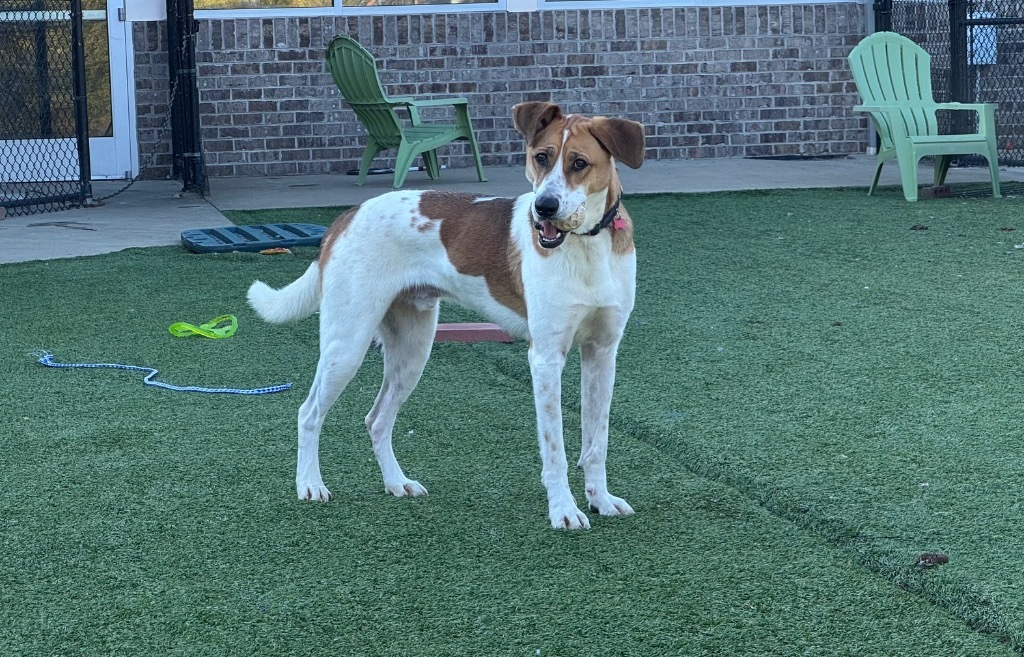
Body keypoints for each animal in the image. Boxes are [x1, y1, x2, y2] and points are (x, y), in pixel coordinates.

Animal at [246, 103, 643, 532]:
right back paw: (310, 485)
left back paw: (397, 482)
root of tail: (348, 215)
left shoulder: (602, 354)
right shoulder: (546, 358)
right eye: (541, 157)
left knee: (377, 419)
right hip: (347, 345)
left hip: (413, 351)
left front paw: (600, 500)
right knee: (309, 413)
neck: (586, 246)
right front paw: (564, 510)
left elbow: (596, 442)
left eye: (579, 163)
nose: (543, 208)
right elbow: (556, 450)